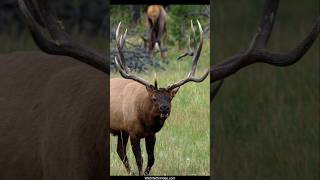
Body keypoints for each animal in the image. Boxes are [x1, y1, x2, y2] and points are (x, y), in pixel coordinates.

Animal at [111, 20, 209, 176]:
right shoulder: (132, 131)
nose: (165, 108)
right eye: (154, 98)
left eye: (170, 98)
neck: (145, 121)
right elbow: (139, 159)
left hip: (121, 131)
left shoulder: (151, 134)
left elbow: (151, 159)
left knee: (120, 151)